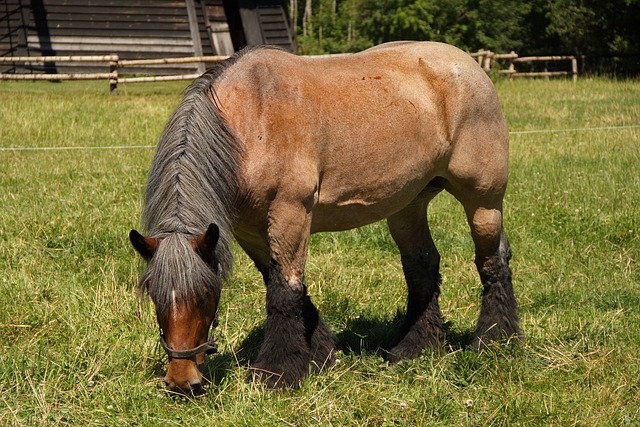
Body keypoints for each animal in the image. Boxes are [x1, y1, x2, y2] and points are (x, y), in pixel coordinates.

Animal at [129, 42, 520, 394]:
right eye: (154, 295)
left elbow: (284, 291)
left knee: (492, 261)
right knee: (423, 267)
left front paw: (278, 373)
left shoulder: (291, 213)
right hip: (408, 206)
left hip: (483, 201)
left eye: (207, 292)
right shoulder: (249, 231)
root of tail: (469, 65)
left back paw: (496, 340)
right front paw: (321, 354)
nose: (182, 382)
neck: (250, 120)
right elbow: (281, 284)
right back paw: (414, 348)